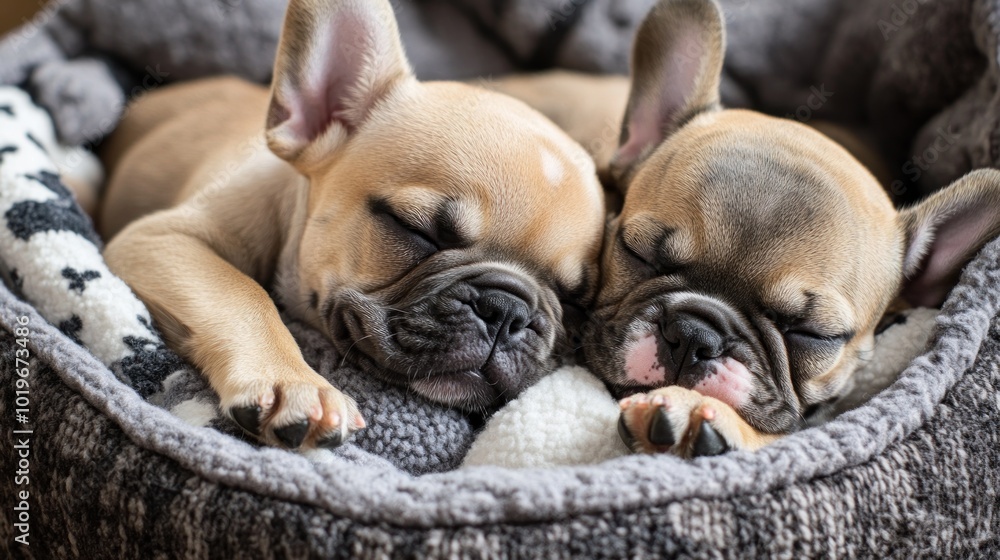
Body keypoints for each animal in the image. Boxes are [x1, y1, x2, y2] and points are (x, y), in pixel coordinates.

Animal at [101, 0, 604, 448]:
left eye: (574, 300)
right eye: (416, 230)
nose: (505, 310)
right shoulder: (163, 237)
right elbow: (242, 292)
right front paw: (296, 383)